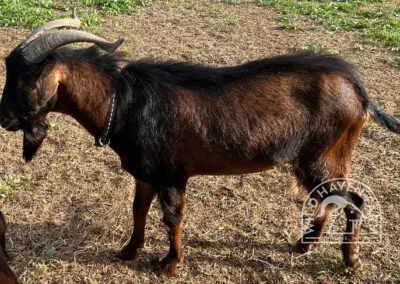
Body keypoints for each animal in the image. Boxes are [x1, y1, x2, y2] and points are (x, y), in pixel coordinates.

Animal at [0, 16, 398, 276]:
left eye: (25, 79)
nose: (4, 119)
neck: (124, 102)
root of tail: (358, 89)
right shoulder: (146, 174)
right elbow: (138, 210)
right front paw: (128, 252)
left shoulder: (173, 175)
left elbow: (172, 218)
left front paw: (169, 265)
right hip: (317, 158)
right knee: (328, 198)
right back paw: (304, 245)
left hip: (324, 153)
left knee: (352, 200)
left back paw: (350, 261)